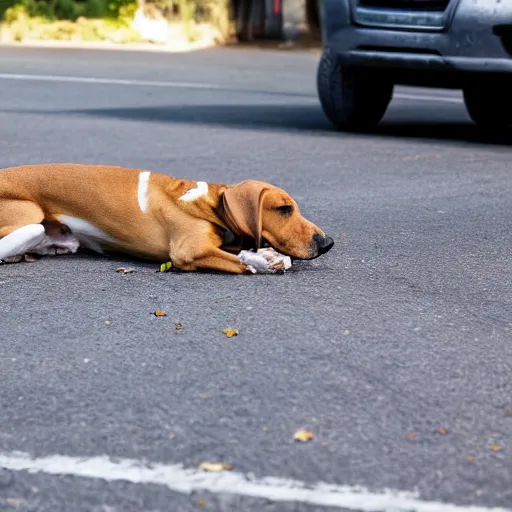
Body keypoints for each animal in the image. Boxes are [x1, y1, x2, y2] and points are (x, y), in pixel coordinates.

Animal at [0, 165, 334, 274]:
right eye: (284, 209)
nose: (328, 243)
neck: (207, 202)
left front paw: (266, 255)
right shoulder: (188, 251)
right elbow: (242, 262)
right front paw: (262, 262)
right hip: (31, 214)